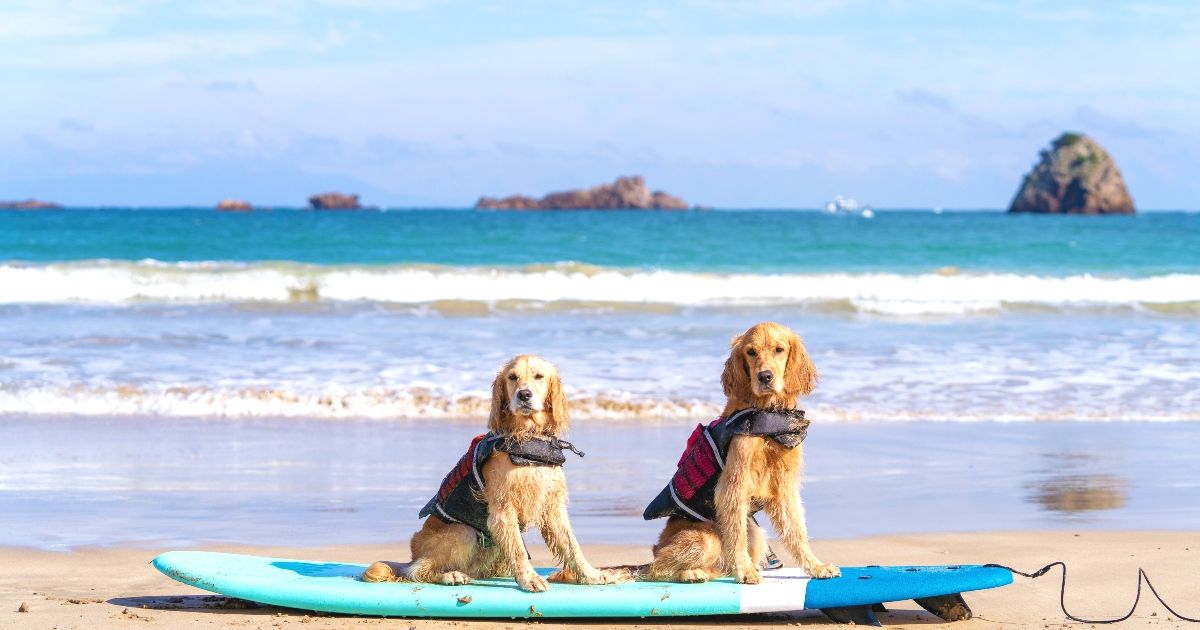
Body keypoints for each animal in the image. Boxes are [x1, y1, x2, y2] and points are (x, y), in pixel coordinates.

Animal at [362, 355, 609, 592]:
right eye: (512, 377)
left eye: (539, 376)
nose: (524, 394)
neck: (529, 438)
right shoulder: (503, 510)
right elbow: (518, 550)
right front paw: (529, 579)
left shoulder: (552, 506)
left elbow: (572, 545)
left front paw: (590, 574)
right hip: (463, 532)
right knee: (417, 570)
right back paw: (451, 575)